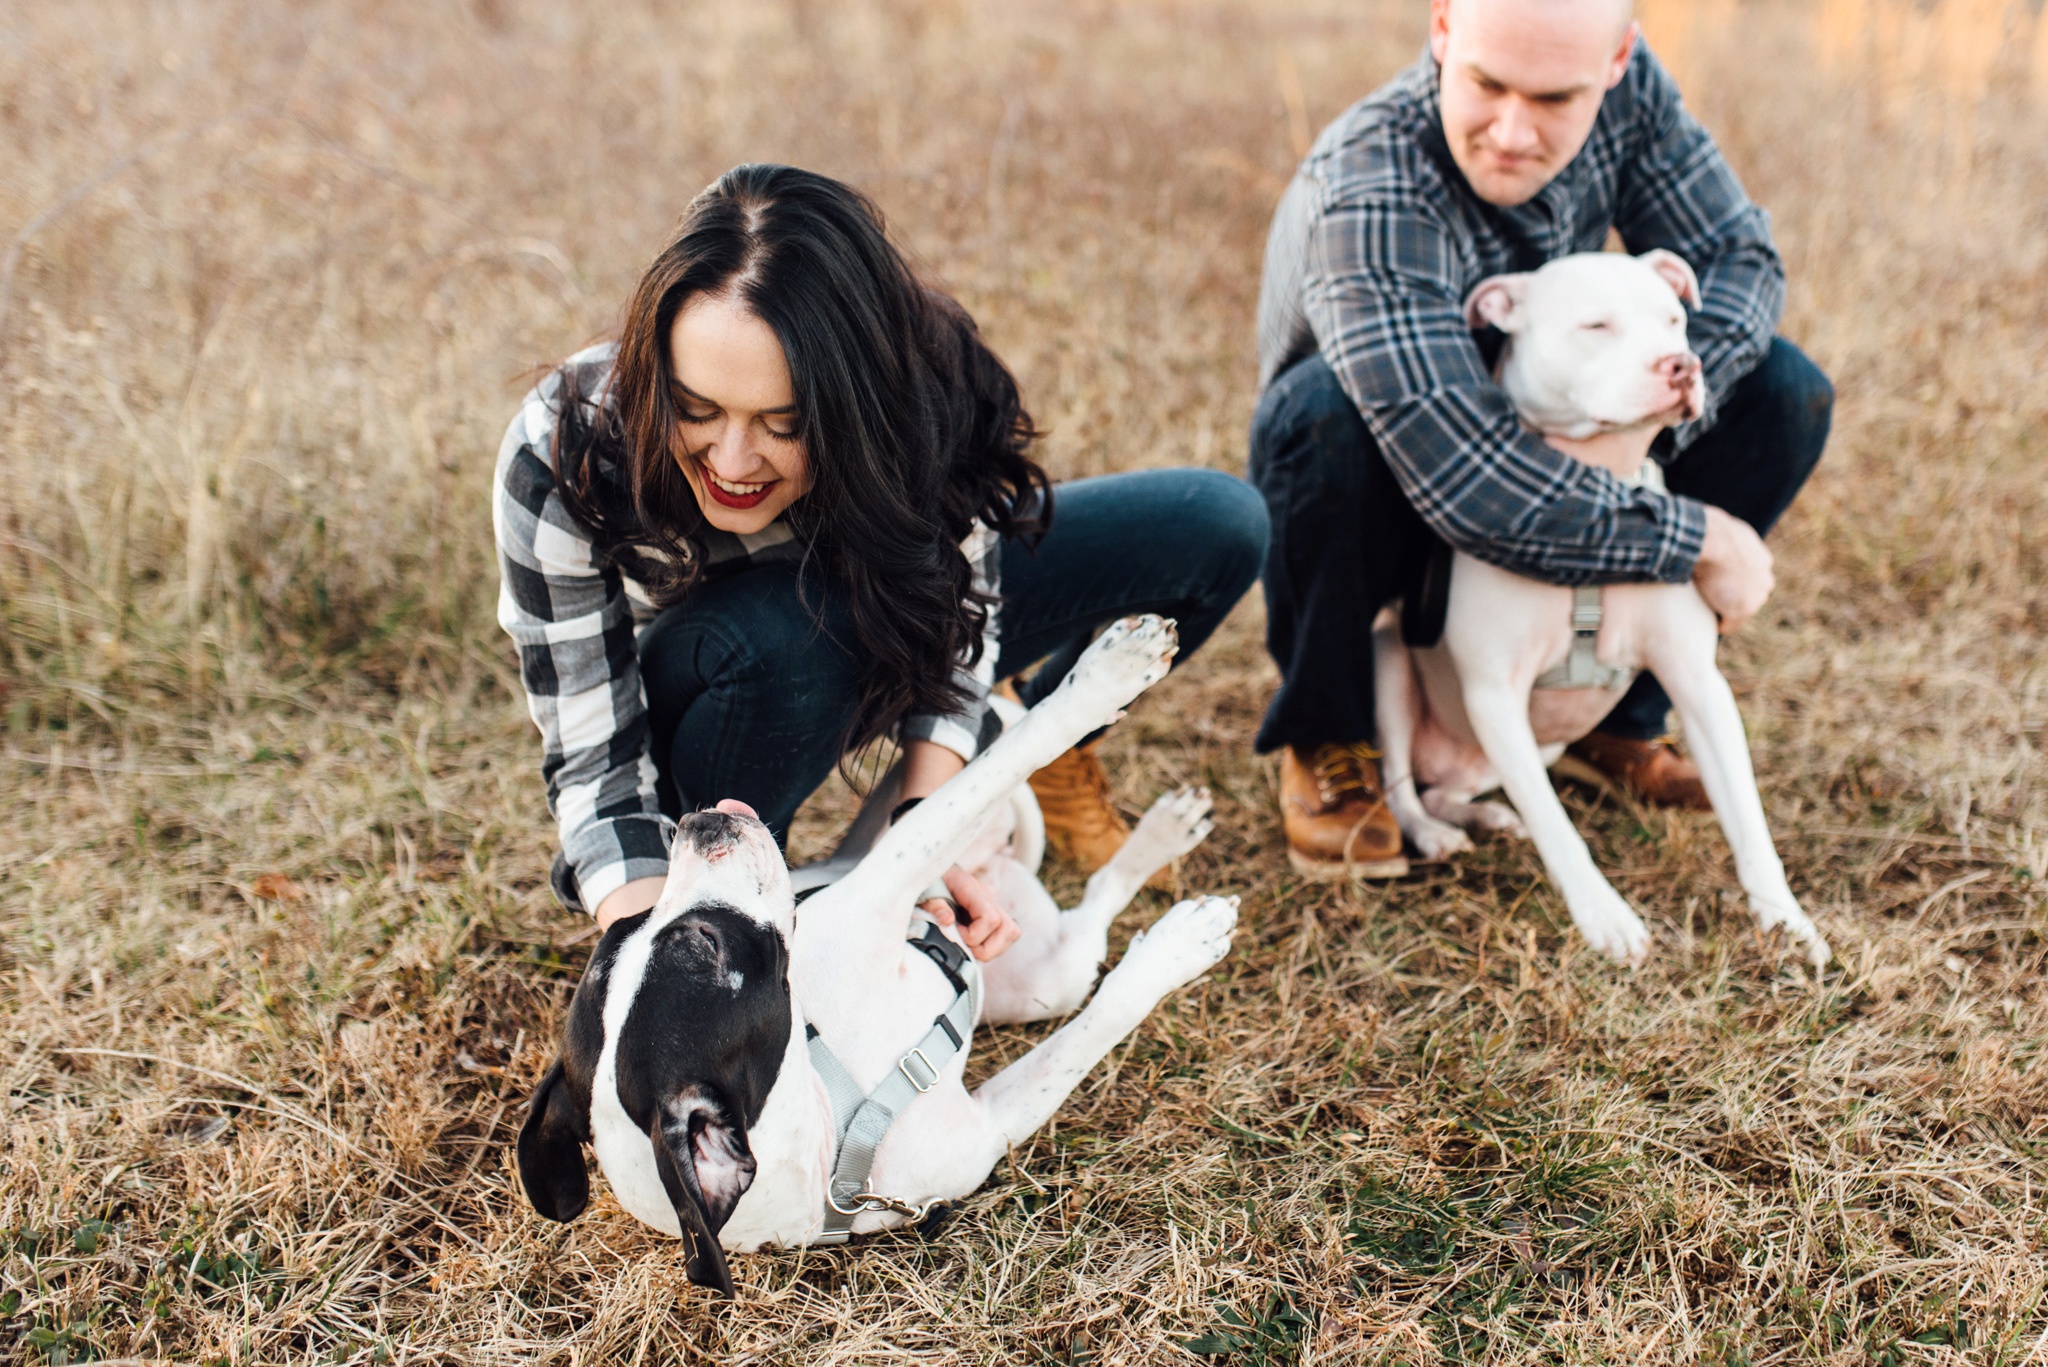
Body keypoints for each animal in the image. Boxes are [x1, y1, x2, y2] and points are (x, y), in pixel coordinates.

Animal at [520, 618, 1236, 1295]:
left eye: (635, 924)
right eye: (706, 942)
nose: (700, 824)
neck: (826, 1103)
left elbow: (970, 784)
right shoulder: (985, 1121)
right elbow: (1093, 1024)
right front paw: (1181, 949)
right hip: (1050, 976)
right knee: (1087, 917)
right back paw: (1173, 877)